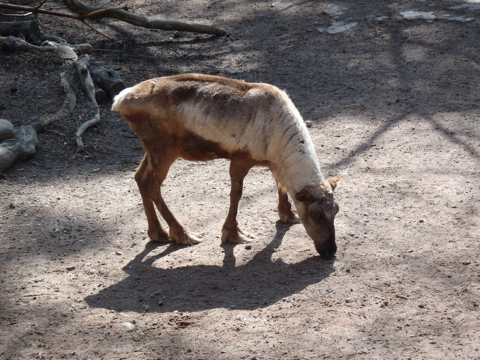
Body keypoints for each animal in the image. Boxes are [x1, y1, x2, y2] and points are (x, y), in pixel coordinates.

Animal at [111, 74, 340, 258]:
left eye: (336, 210)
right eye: (315, 214)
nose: (330, 250)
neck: (278, 134)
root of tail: (120, 100)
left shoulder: (273, 162)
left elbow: (281, 185)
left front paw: (288, 215)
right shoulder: (240, 159)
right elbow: (236, 195)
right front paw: (233, 234)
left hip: (153, 150)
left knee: (140, 178)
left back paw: (158, 233)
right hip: (165, 148)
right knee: (152, 185)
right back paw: (183, 234)